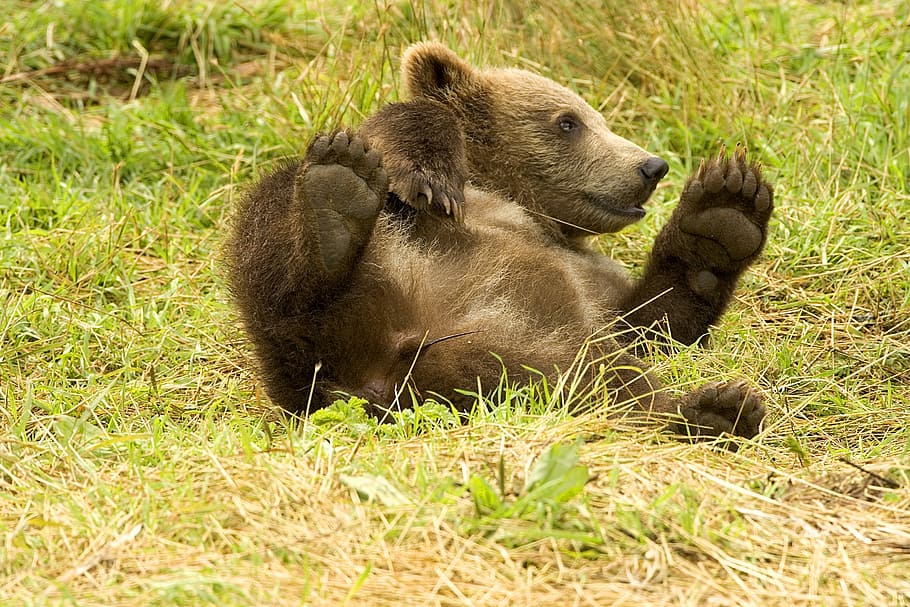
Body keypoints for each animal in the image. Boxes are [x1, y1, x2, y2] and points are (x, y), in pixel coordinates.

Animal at [226, 42, 774, 441]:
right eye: (568, 121)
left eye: (597, 119)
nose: (650, 166)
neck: (522, 206)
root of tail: (372, 380)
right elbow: (405, 133)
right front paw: (428, 177)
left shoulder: (592, 285)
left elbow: (652, 323)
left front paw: (722, 216)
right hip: (346, 301)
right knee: (274, 234)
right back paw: (333, 206)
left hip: (510, 352)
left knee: (592, 380)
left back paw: (715, 409)